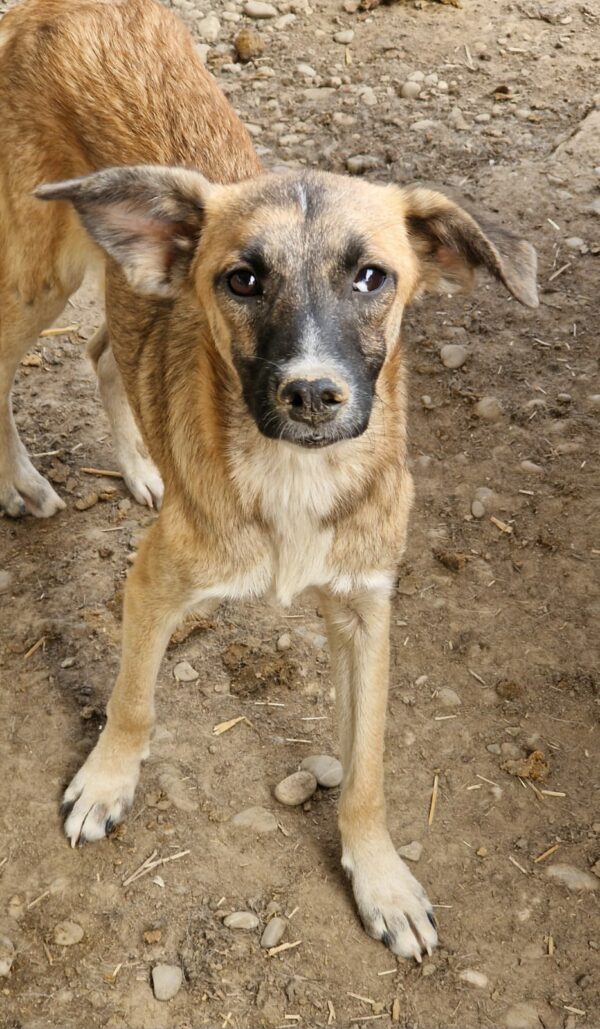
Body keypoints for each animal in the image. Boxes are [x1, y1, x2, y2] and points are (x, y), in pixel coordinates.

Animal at [0, 2, 539, 963]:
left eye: (373, 276)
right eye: (243, 279)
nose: (313, 393)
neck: (295, 475)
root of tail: (58, 9)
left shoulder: (367, 609)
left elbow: (366, 768)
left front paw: (381, 879)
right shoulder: (154, 581)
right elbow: (131, 701)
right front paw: (106, 781)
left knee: (104, 351)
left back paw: (142, 466)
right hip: (38, 273)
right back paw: (21, 482)